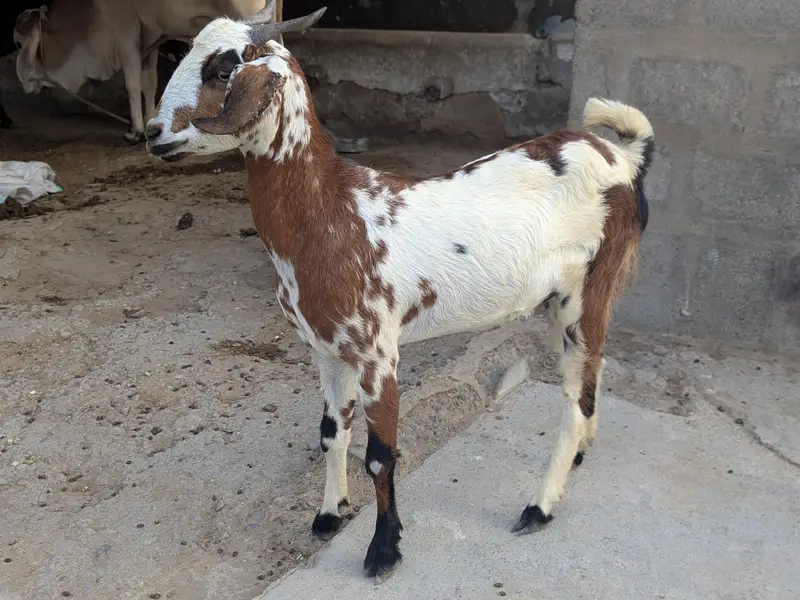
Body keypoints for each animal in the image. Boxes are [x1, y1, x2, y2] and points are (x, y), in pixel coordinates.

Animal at [145, 6, 655, 579]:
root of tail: (623, 156)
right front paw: (329, 514)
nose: (153, 133)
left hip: (588, 289)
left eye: (221, 68)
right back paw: (583, 451)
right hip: (567, 301)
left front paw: (383, 549)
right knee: (593, 374)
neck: (331, 214)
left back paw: (539, 506)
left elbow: (380, 456)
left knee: (575, 397)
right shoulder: (327, 350)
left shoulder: (377, 351)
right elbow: (330, 431)